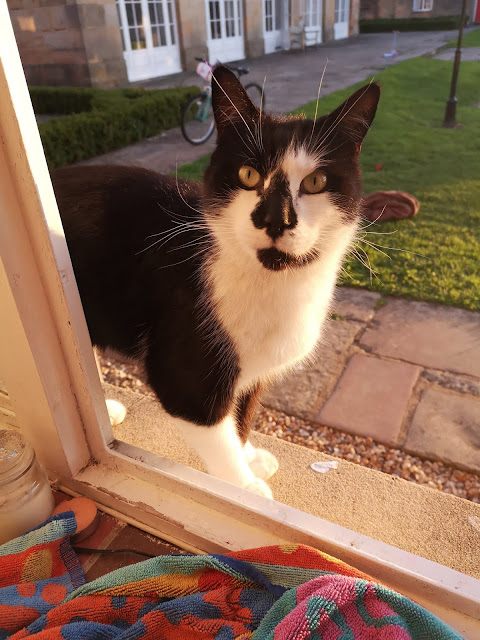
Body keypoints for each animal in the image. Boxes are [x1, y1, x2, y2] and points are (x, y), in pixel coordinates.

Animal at [52, 66, 380, 499]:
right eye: (248, 174)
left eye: (315, 182)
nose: (275, 219)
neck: (272, 286)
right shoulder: (186, 368)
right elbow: (212, 425)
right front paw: (243, 487)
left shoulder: (252, 369)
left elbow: (242, 413)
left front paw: (250, 456)